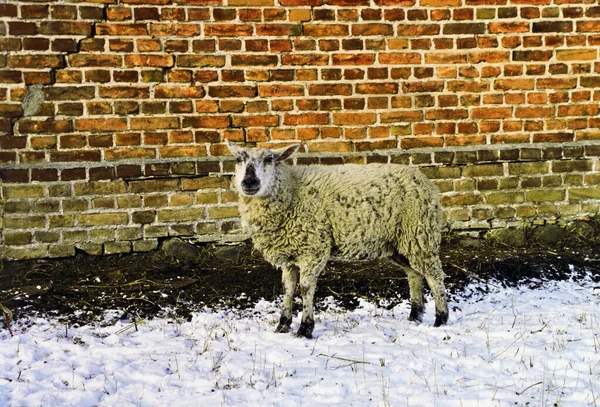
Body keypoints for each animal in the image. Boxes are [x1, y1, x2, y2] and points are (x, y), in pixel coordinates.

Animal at [227, 142, 448, 340]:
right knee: (414, 274)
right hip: (399, 243)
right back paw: (415, 315)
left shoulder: (313, 249)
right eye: (238, 159)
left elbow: (305, 288)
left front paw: (305, 329)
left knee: (434, 276)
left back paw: (441, 318)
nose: (249, 182)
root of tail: (426, 182)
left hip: (420, 234)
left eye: (269, 159)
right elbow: (288, 289)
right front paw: (282, 326)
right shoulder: (289, 255)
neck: (292, 190)